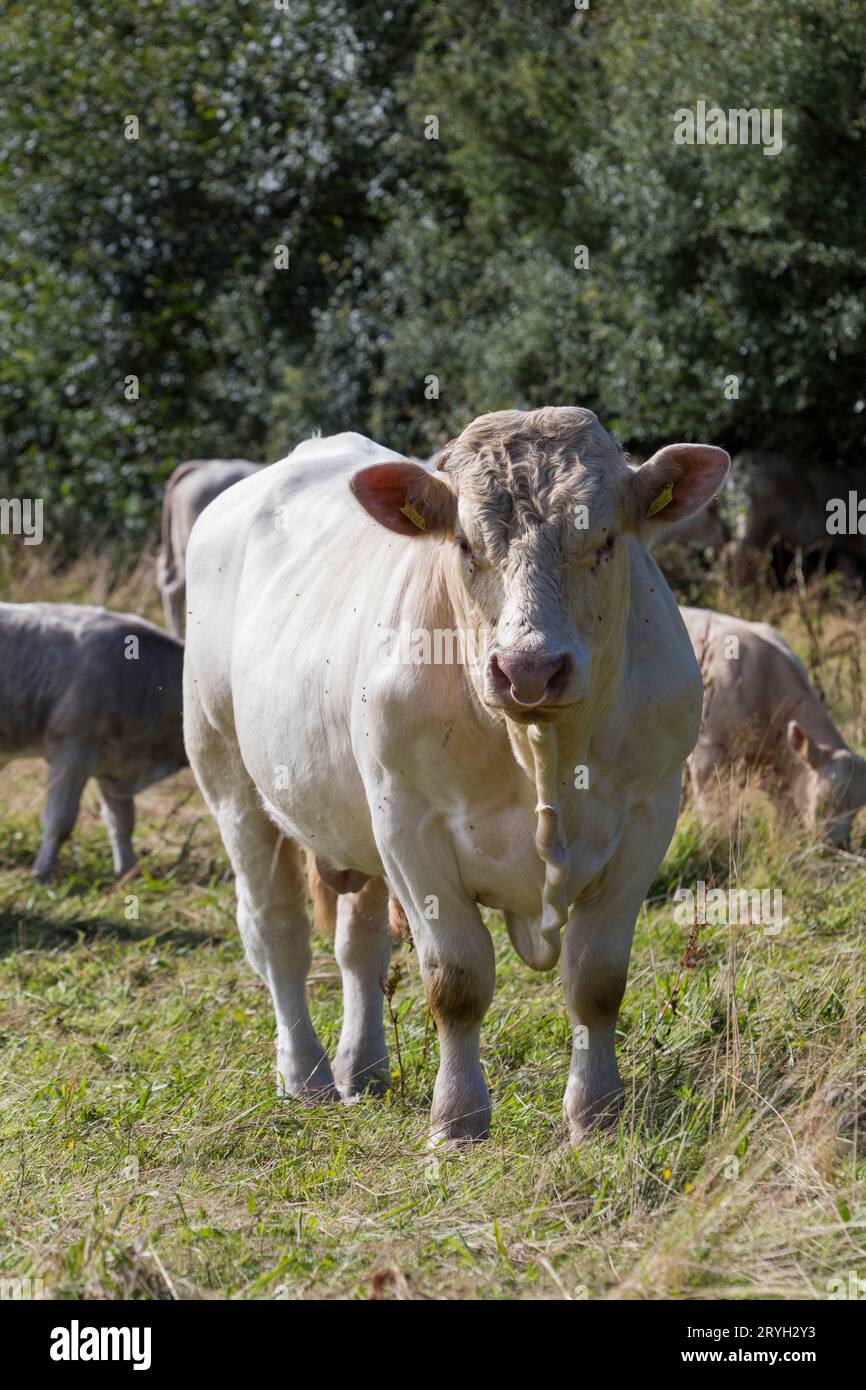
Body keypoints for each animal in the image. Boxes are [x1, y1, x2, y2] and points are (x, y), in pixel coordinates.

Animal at [0, 603, 187, 872]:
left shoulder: (114, 763)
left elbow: (122, 823)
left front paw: (128, 871)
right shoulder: (73, 747)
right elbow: (60, 822)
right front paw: (41, 872)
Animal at [184, 405, 733, 1145]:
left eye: (606, 540)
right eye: (468, 545)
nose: (529, 668)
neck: (541, 750)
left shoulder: (648, 814)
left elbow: (596, 980)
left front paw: (596, 1112)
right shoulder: (408, 823)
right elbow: (457, 980)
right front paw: (458, 1118)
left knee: (358, 944)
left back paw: (364, 1069)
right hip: (230, 781)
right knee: (278, 933)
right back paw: (306, 1074)